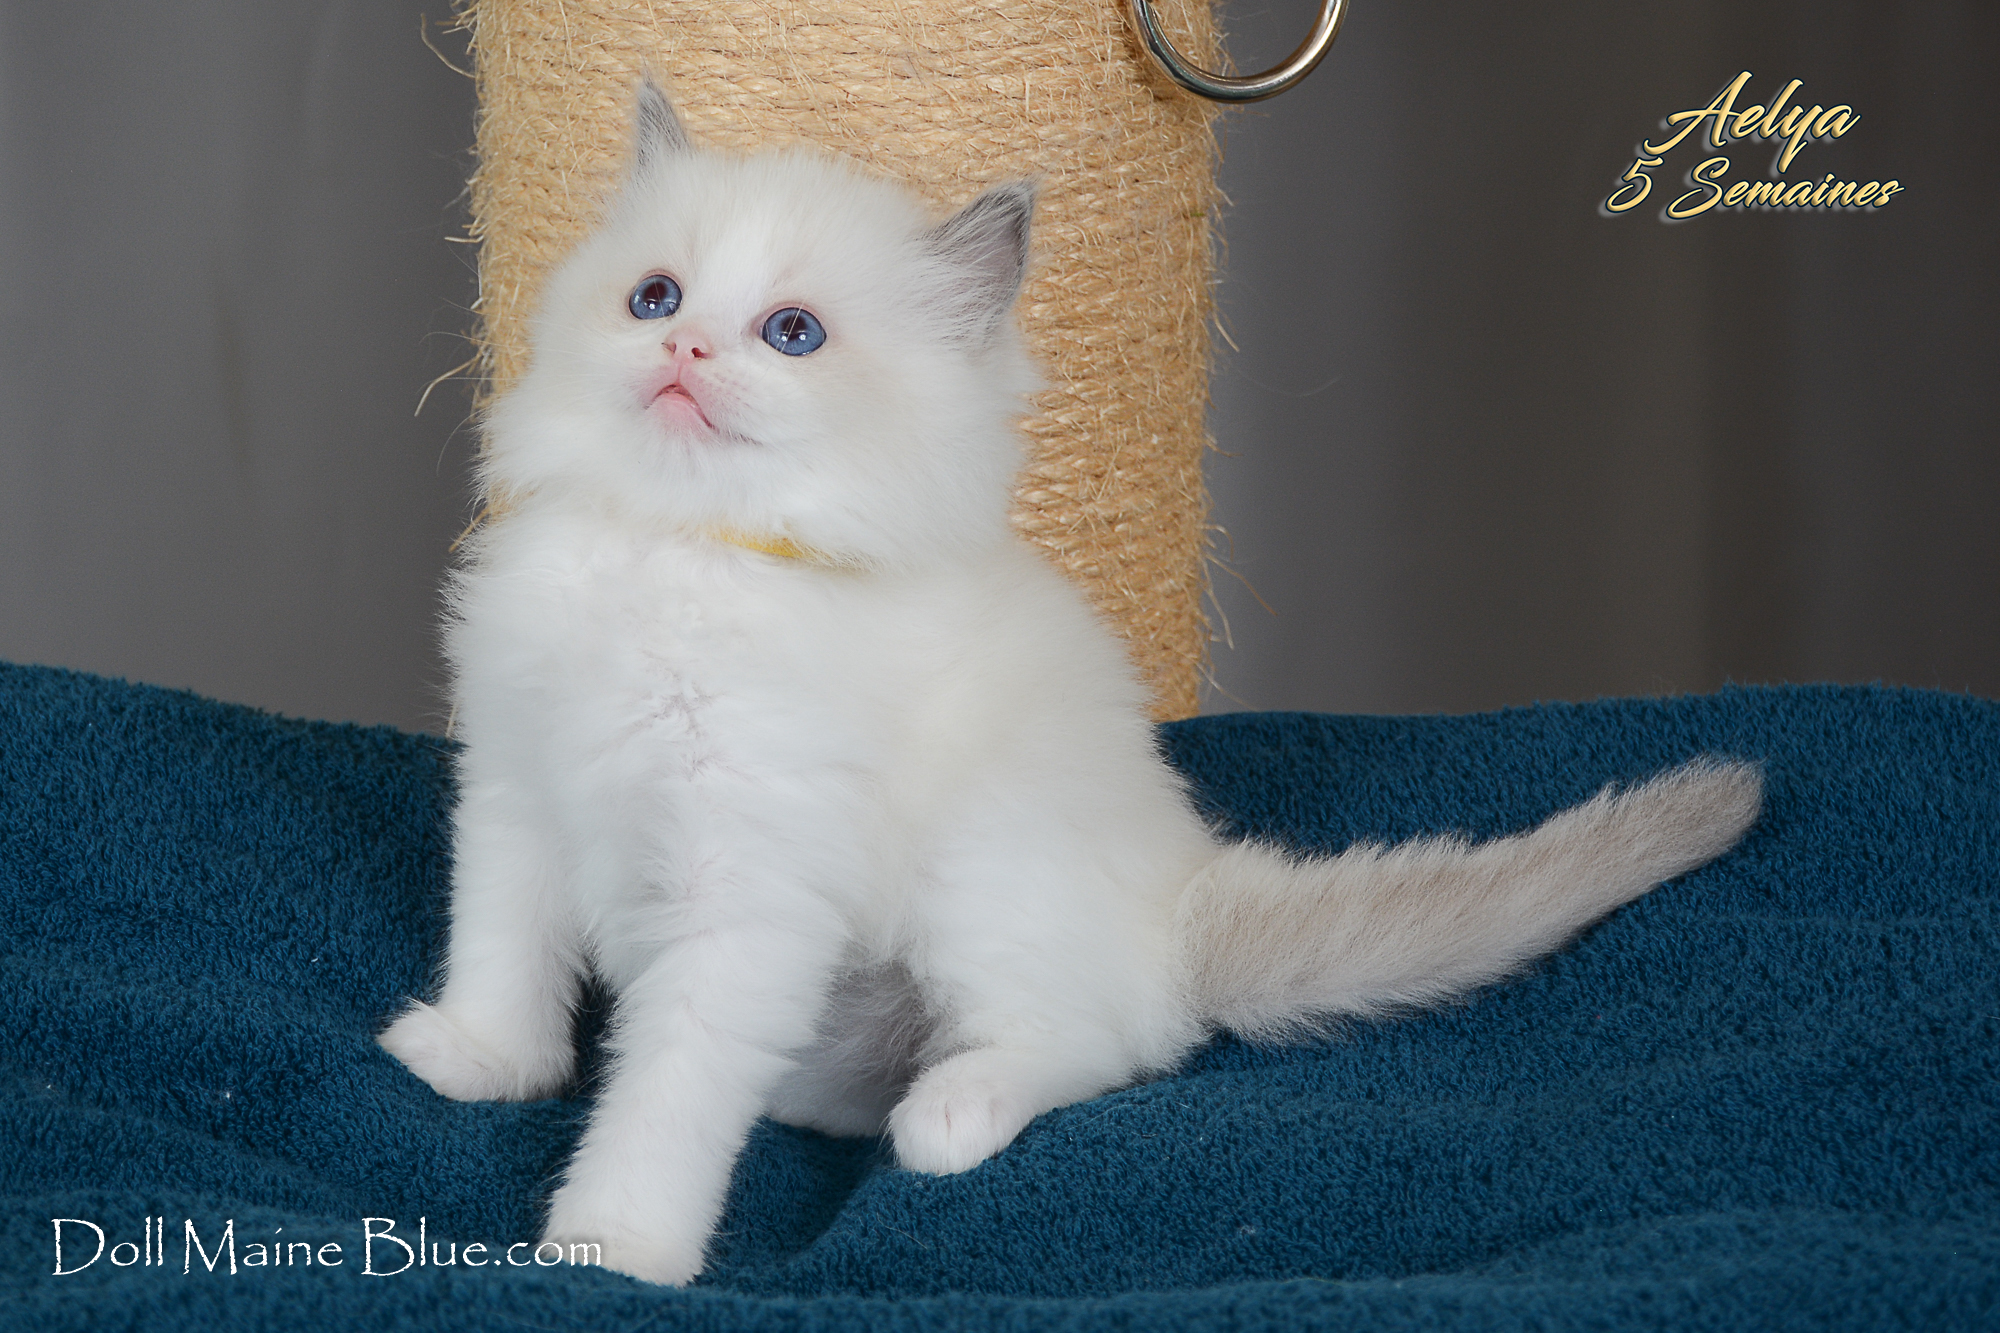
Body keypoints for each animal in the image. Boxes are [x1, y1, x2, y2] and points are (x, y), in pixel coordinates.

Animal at [378, 81, 1763, 1286]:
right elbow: (501, 942)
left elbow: (667, 1090)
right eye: (652, 295)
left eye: (791, 334)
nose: (685, 343)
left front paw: (612, 1243)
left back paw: (950, 1111)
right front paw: (479, 1059)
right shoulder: (514, 785)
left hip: (981, 882)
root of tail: (1180, 907)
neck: (679, 552)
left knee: (1104, 1045)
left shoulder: (745, 891)